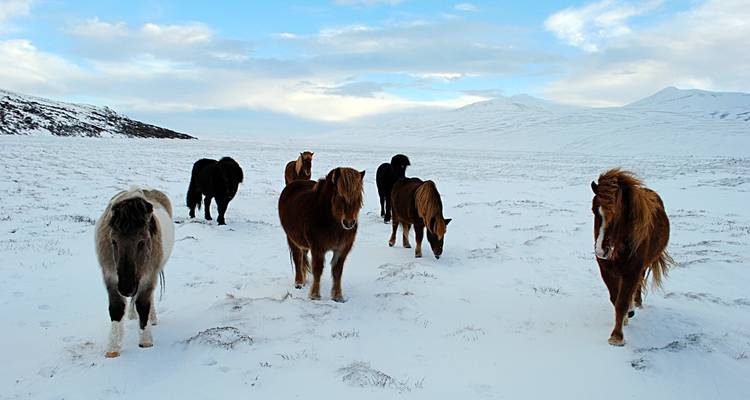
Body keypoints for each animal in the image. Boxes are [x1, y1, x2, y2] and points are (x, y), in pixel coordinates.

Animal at [95, 187, 175, 358]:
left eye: (142, 242)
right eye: (113, 241)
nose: (126, 288)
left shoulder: (148, 276)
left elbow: (143, 305)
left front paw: (146, 341)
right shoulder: (111, 277)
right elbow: (116, 309)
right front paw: (113, 348)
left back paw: (152, 318)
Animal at [278, 167, 365, 302]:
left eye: (358, 197)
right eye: (340, 196)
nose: (349, 223)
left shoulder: (342, 249)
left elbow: (337, 271)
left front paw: (338, 296)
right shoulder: (318, 248)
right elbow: (318, 270)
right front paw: (315, 295)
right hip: (292, 239)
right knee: (298, 259)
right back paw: (299, 282)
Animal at [591, 169, 674, 346]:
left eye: (617, 214)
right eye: (594, 210)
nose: (600, 250)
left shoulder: (632, 271)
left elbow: (622, 302)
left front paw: (617, 336)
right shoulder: (606, 269)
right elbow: (615, 298)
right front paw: (624, 320)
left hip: (641, 266)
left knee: (638, 284)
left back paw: (636, 303)